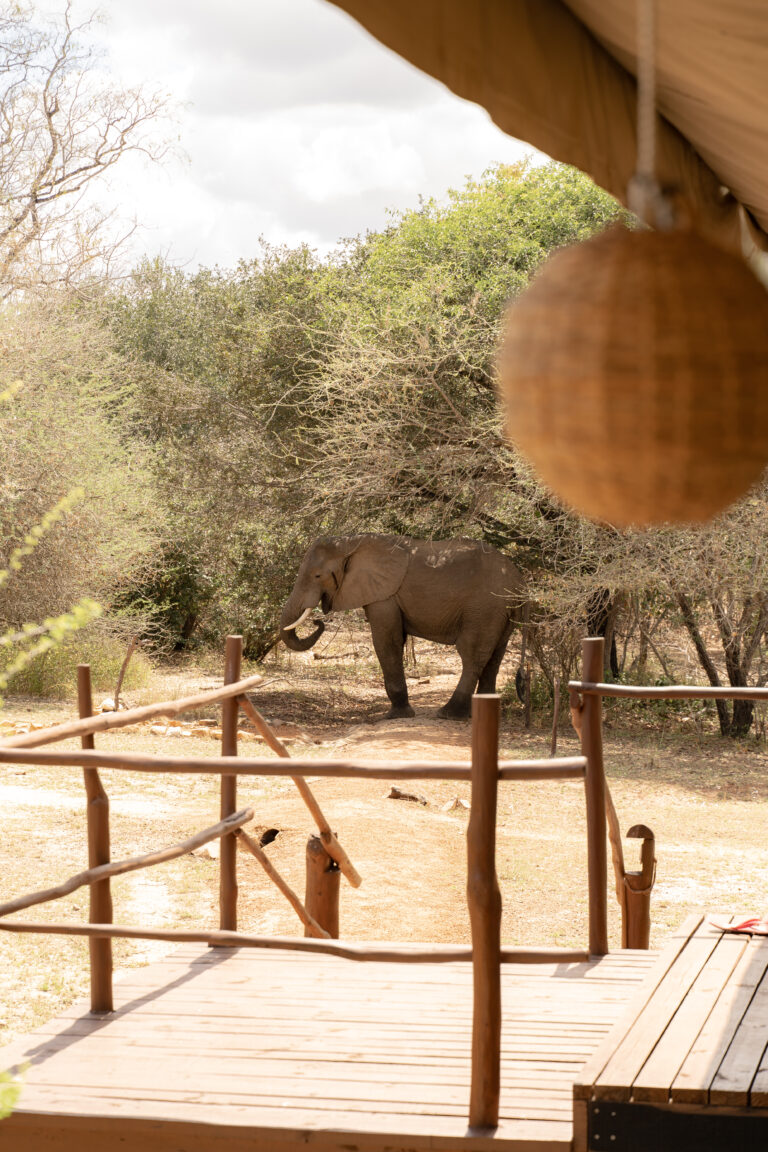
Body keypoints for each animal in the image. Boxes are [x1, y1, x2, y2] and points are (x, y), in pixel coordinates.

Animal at [279, 532, 525, 714]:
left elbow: (387, 641)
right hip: (501, 611)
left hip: (485, 607)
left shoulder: (384, 595)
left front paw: (398, 714)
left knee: (472, 654)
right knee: (494, 656)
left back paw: (449, 714)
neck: (351, 543)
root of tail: (518, 580)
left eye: (317, 576)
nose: (318, 622)